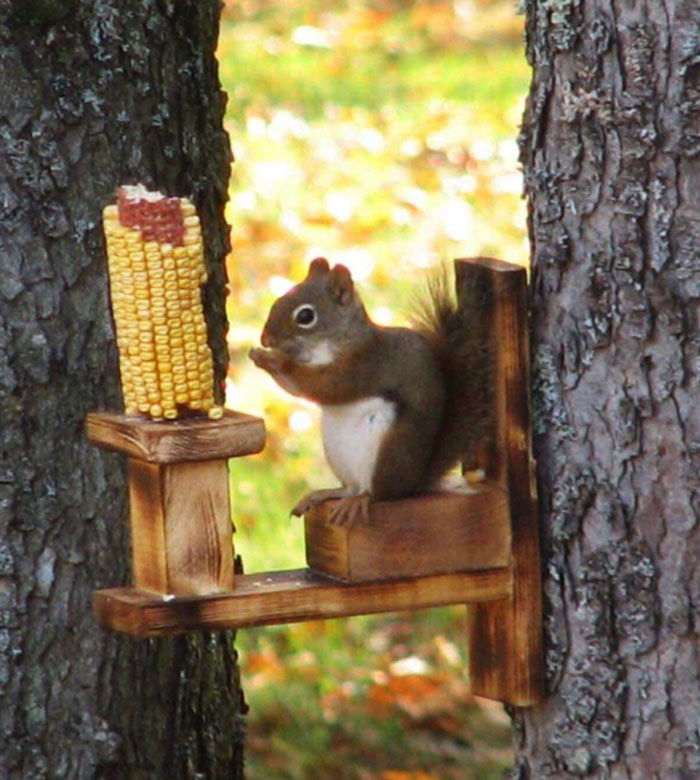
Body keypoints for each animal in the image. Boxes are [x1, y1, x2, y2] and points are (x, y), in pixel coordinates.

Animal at [247, 258, 492, 528]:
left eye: (305, 316)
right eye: (278, 300)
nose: (266, 338)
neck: (338, 341)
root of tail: (412, 485)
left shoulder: (363, 364)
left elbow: (323, 386)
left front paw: (274, 360)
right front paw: (261, 356)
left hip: (389, 450)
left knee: (377, 494)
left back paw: (360, 500)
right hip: (337, 453)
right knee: (350, 488)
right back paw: (323, 494)